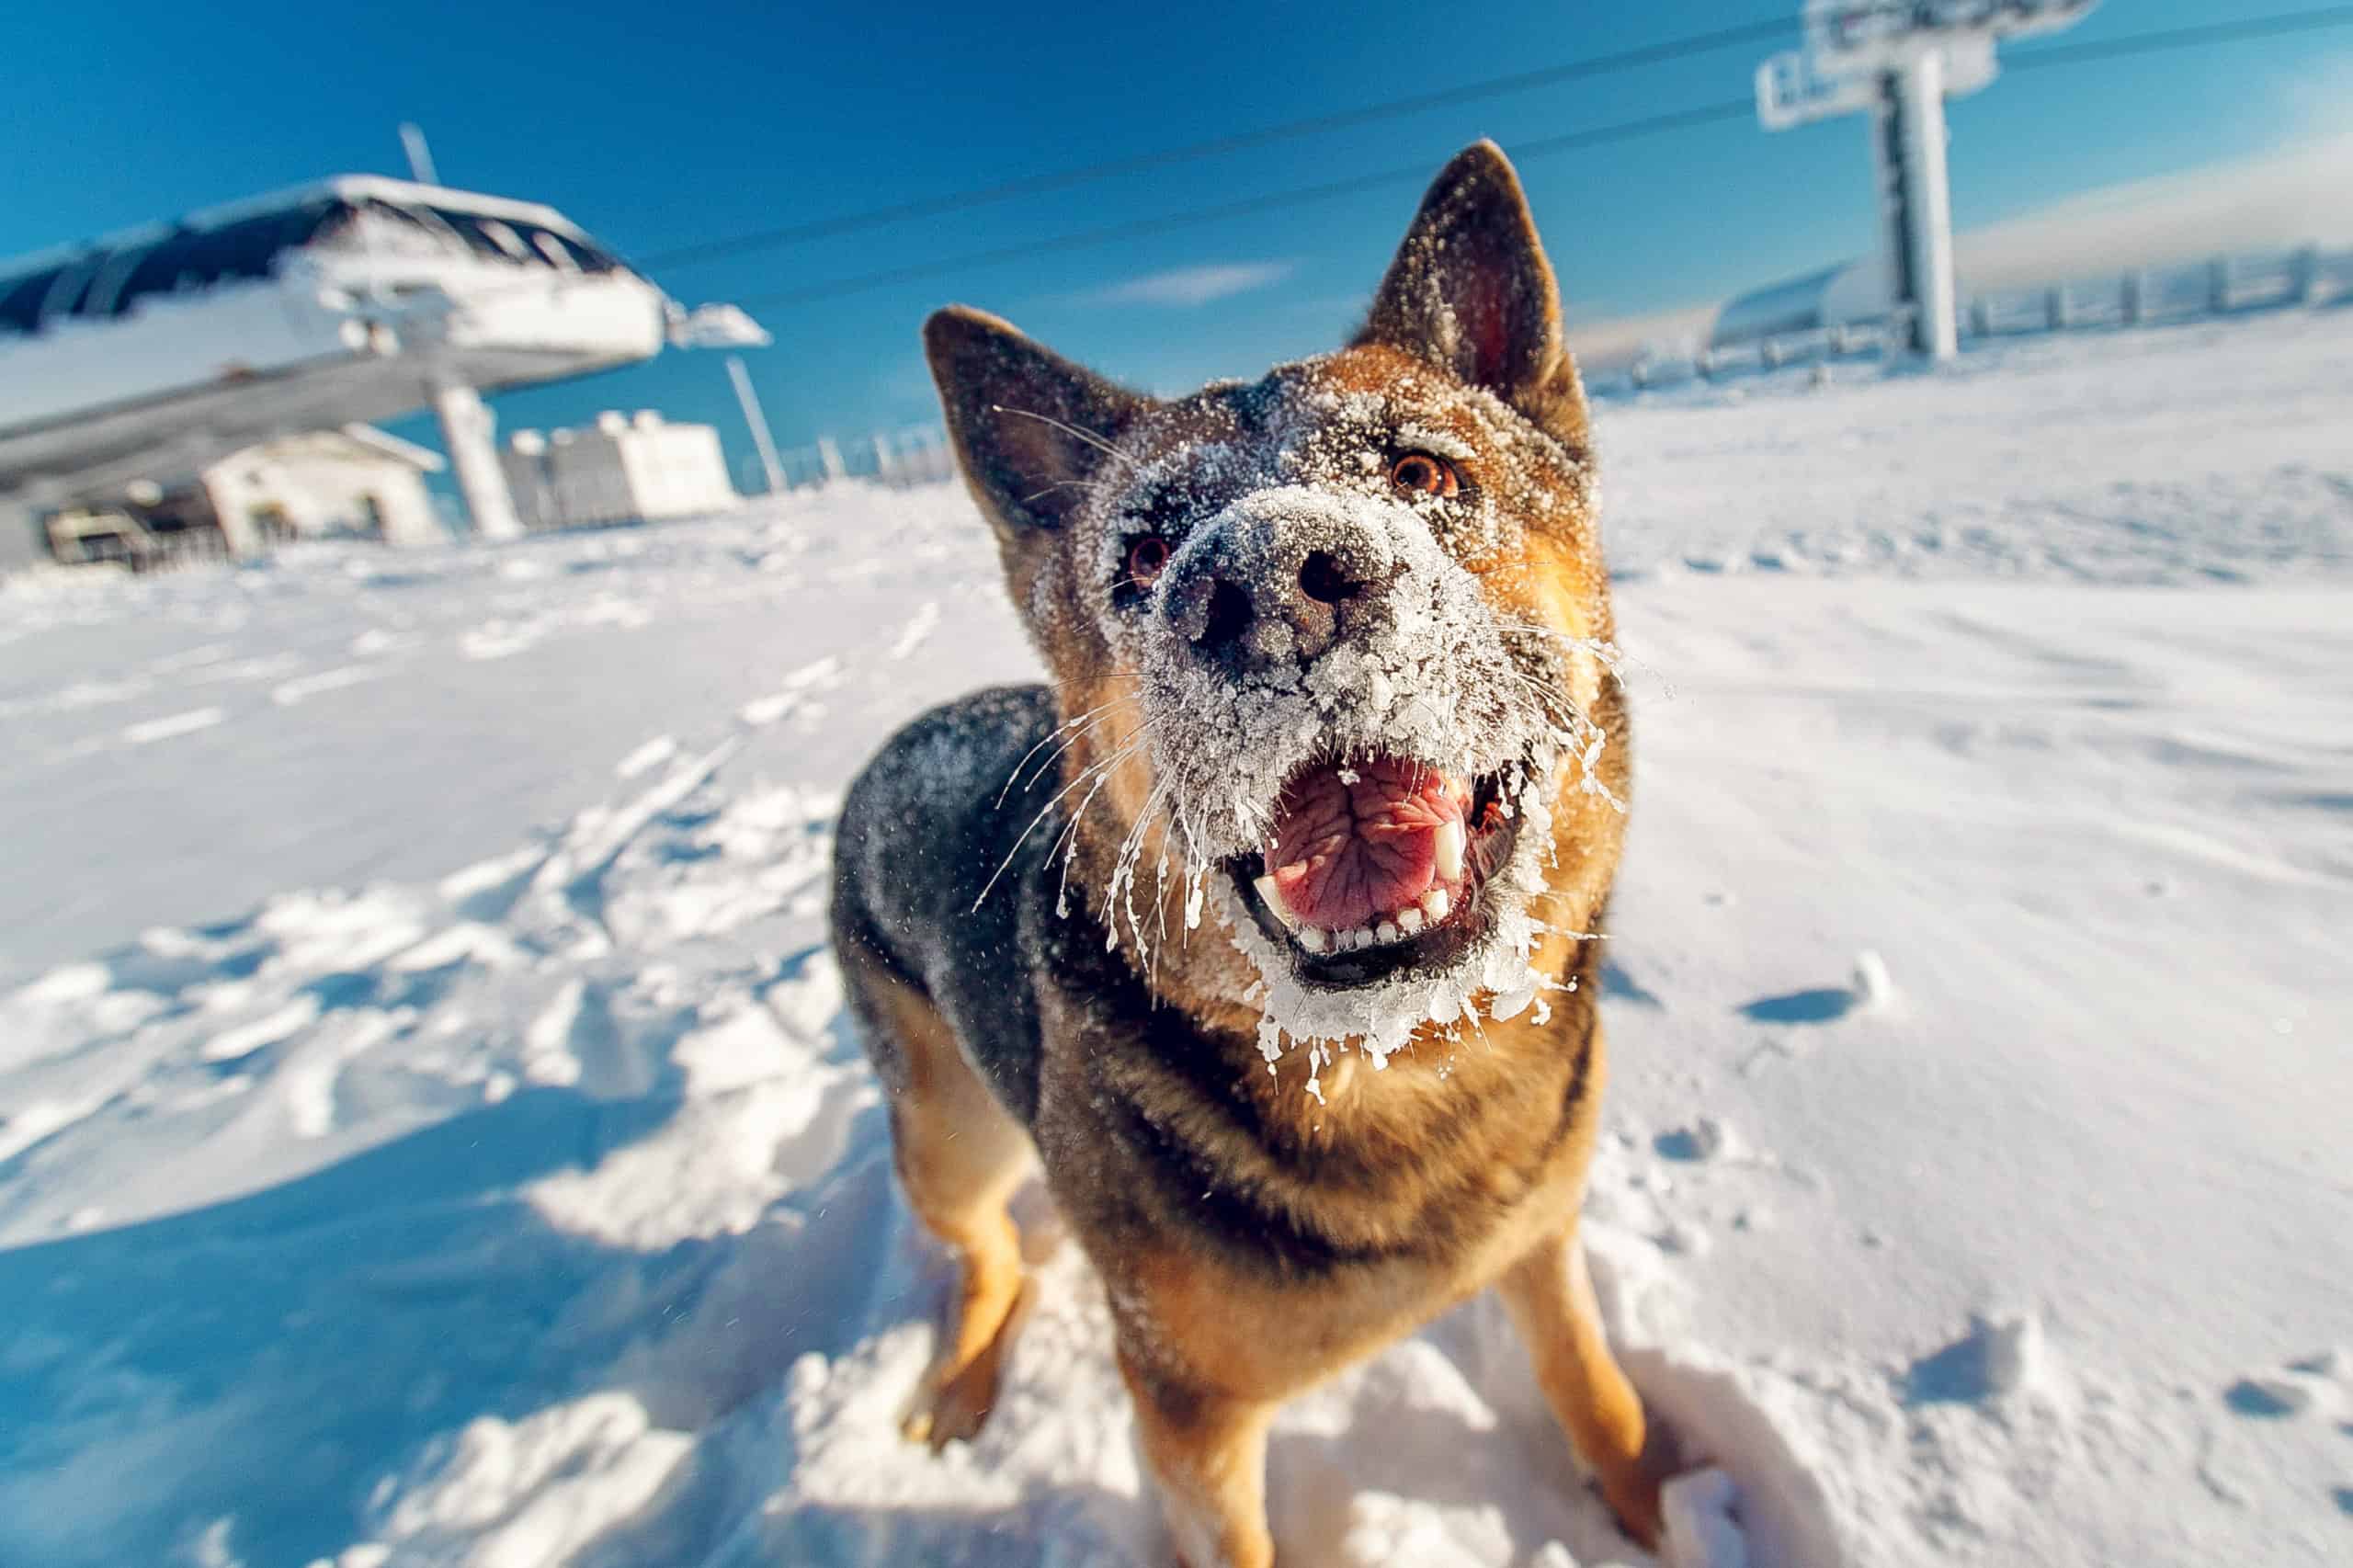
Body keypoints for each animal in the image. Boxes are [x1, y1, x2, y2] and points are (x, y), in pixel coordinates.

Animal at [828, 141, 1656, 1553]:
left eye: (1426, 476)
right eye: (1145, 551)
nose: (1265, 586)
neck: (1392, 1065)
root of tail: (897, 742)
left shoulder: (1542, 1243)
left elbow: (1597, 1392)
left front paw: (1665, 1505)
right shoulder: (1189, 1414)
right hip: (947, 1132)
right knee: (986, 1253)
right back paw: (961, 1383)